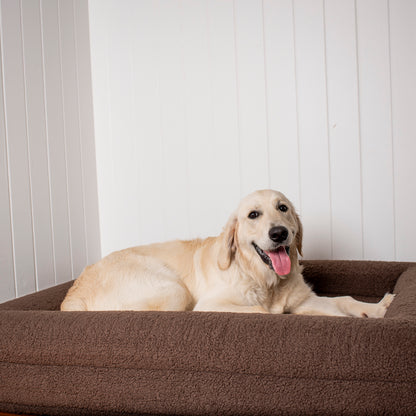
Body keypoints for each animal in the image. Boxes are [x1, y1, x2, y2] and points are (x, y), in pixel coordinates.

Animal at [61, 188, 394, 316]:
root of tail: (72, 293)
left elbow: (344, 300)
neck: (264, 279)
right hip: (173, 290)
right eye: (253, 215)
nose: (279, 233)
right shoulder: (212, 304)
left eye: (283, 208)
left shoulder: (304, 299)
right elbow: (265, 311)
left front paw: (377, 307)